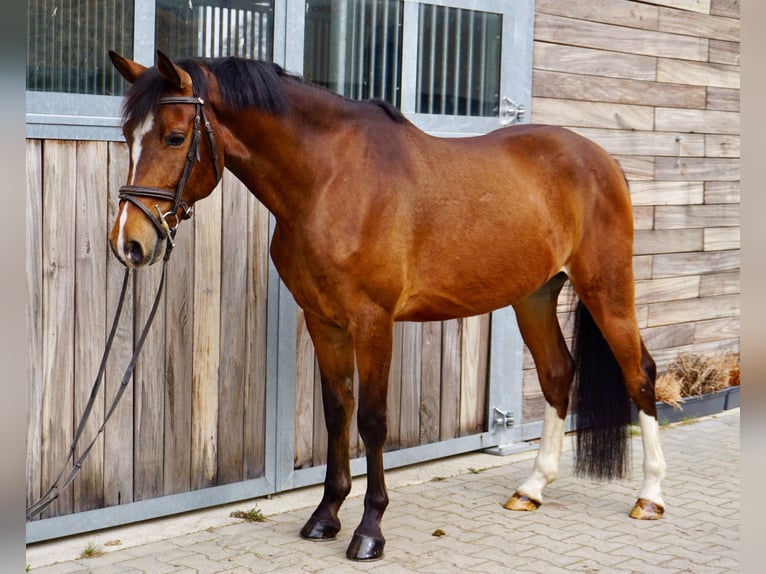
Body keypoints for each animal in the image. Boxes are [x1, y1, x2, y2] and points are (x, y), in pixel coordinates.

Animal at [107, 50, 666, 561]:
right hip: (534, 296)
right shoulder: (323, 321)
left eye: (175, 137)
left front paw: (369, 530)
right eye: (129, 135)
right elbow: (337, 412)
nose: (129, 243)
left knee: (639, 373)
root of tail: (601, 159)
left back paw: (650, 497)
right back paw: (531, 489)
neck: (329, 180)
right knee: (556, 374)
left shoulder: (373, 321)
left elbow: (372, 421)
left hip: (607, 289)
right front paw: (325, 516)